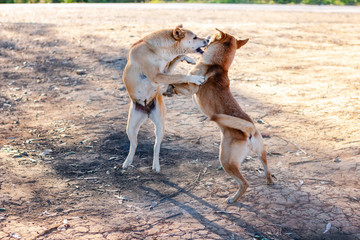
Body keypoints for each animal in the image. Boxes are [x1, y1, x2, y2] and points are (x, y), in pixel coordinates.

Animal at [123, 24, 210, 172]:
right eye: (195, 37)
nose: (208, 39)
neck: (156, 50)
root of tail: (146, 111)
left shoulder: (164, 73)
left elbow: (176, 60)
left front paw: (188, 59)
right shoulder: (158, 76)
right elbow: (180, 75)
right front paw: (196, 78)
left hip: (159, 126)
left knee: (155, 146)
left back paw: (155, 165)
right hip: (130, 127)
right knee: (134, 144)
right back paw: (127, 162)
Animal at [173, 29, 274, 203]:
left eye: (212, 36)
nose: (206, 37)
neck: (218, 65)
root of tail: (249, 130)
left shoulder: (190, 87)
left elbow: (176, 82)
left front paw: (168, 88)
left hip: (226, 161)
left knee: (244, 183)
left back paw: (233, 199)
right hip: (261, 153)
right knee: (267, 169)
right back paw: (269, 181)